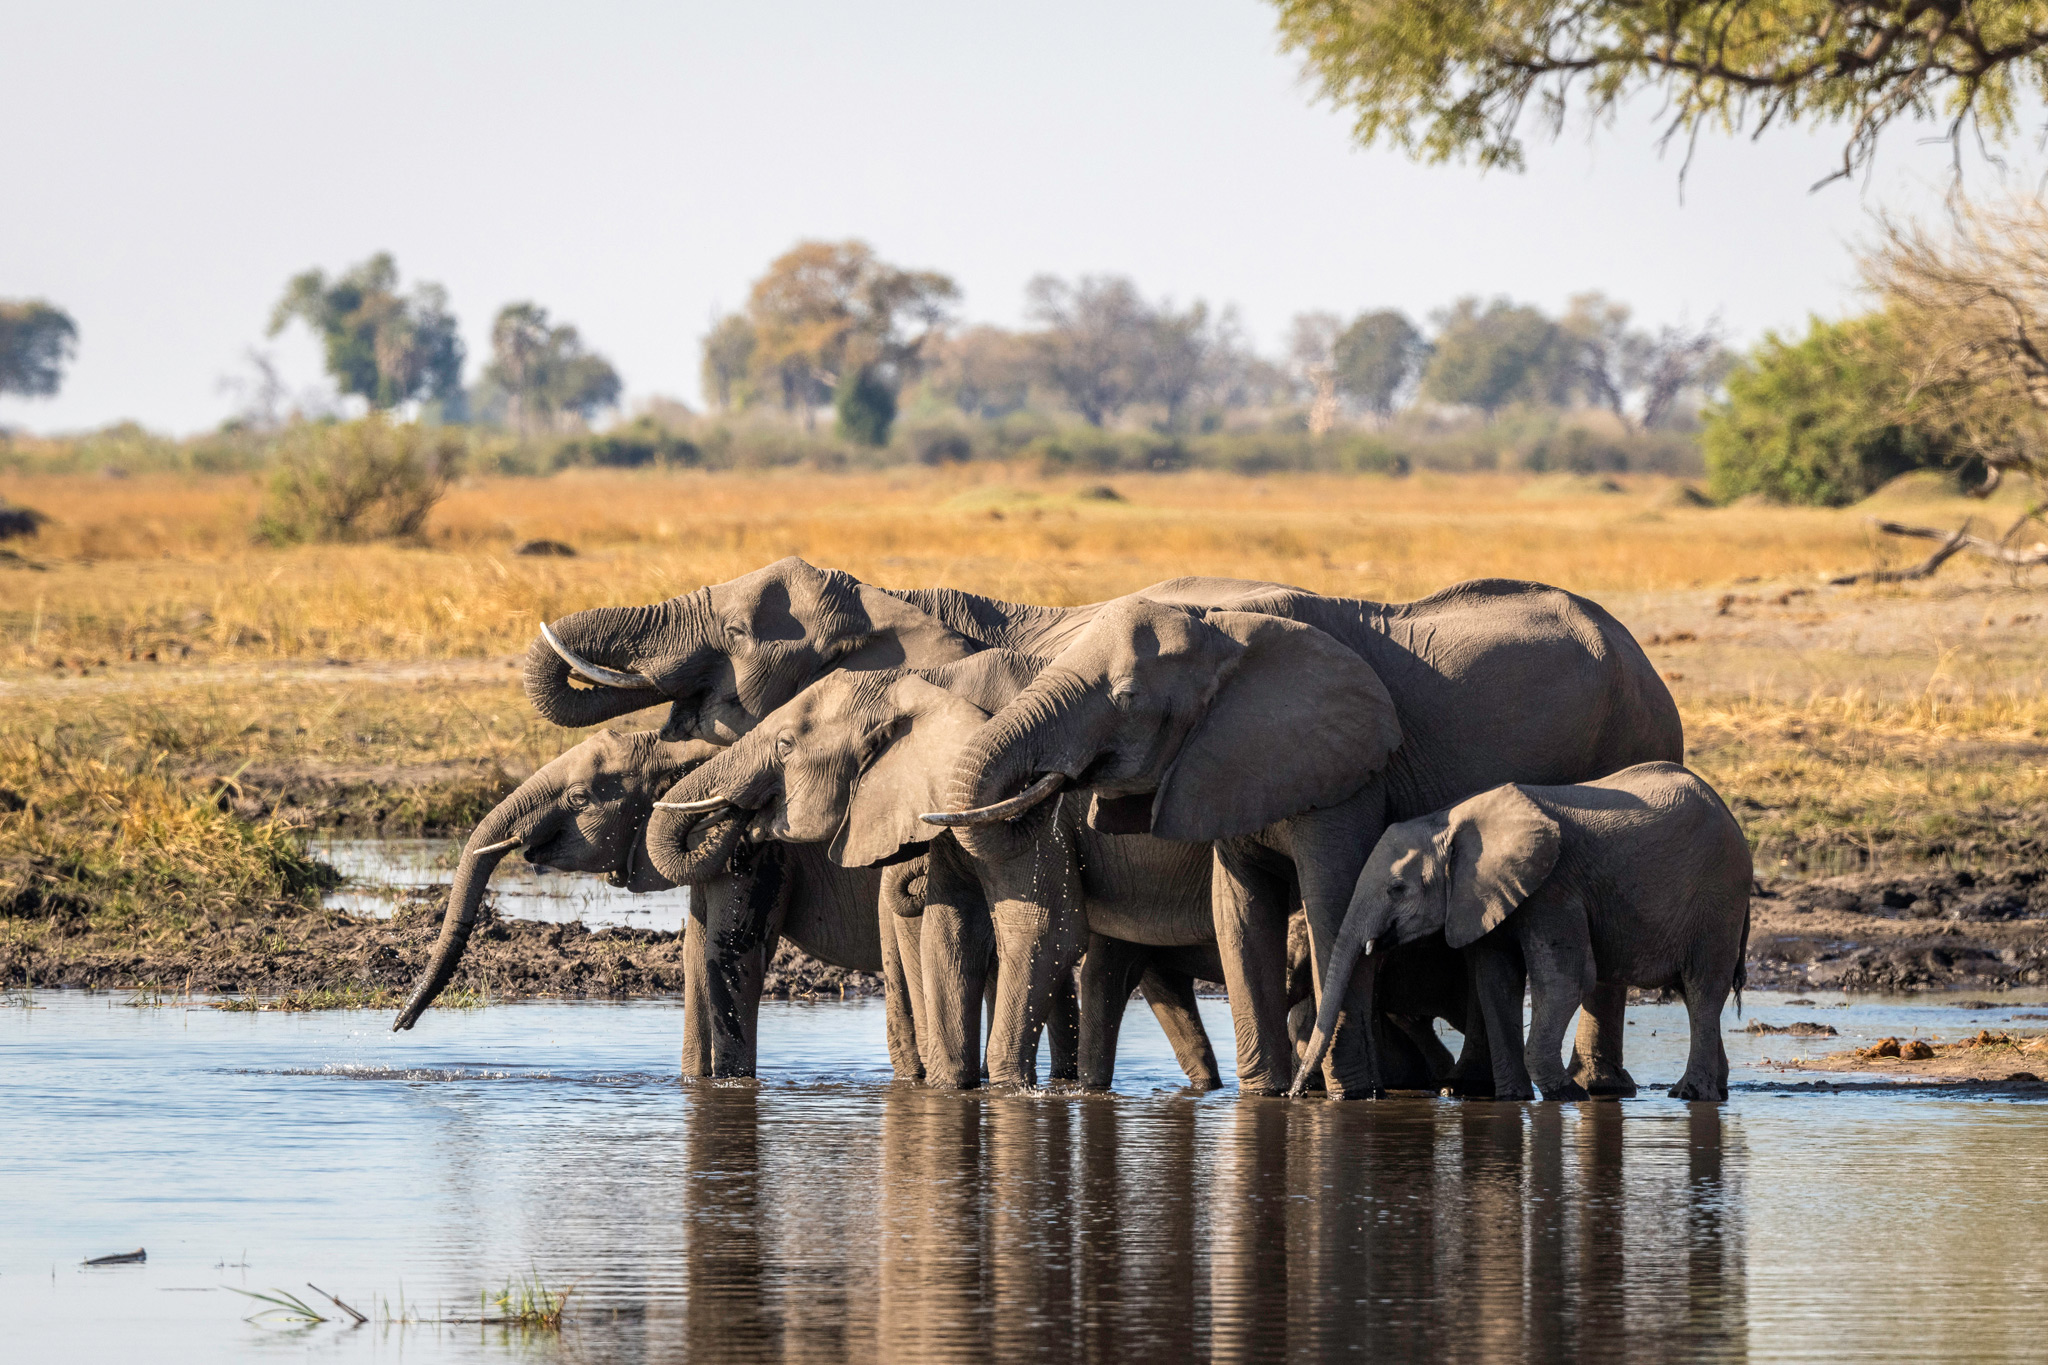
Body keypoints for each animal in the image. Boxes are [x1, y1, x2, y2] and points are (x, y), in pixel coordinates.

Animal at [388, 727, 925, 1082]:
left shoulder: (759, 847)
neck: (693, 751)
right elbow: (695, 959)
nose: (398, 1026)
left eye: (580, 798)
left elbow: (732, 954)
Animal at [644, 648, 1230, 1091]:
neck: (926, 684)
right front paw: (952, 1089)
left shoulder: (1029, 808)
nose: (739, 822)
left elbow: (1045, 931)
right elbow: (949, 933)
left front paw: (1008, 1091)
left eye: (786, 746)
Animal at [931, 579, 1683, 1098]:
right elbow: (1238, 915)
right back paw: (1477, 1088)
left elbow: (1330, 903)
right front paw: (1266, 1097)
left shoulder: (1347, 766)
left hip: (1636, 740)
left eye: (1128, 699)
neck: (1226, 632)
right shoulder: (1227, 760)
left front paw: (1346, 1096)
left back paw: (1591, 1089)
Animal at [1293, 763, 1753, 1102]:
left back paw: (1690, 1095)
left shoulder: (1554, 888)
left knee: (1703, 988)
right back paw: (1715, 1090)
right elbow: (1495, 982)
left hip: (1718, 897)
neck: (1448, 820)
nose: (1296, 1093)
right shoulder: (1482, 897)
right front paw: (1513, 1099)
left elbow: (1567, 980)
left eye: (1397, 889)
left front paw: (1566, 1095)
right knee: (1691, 993)